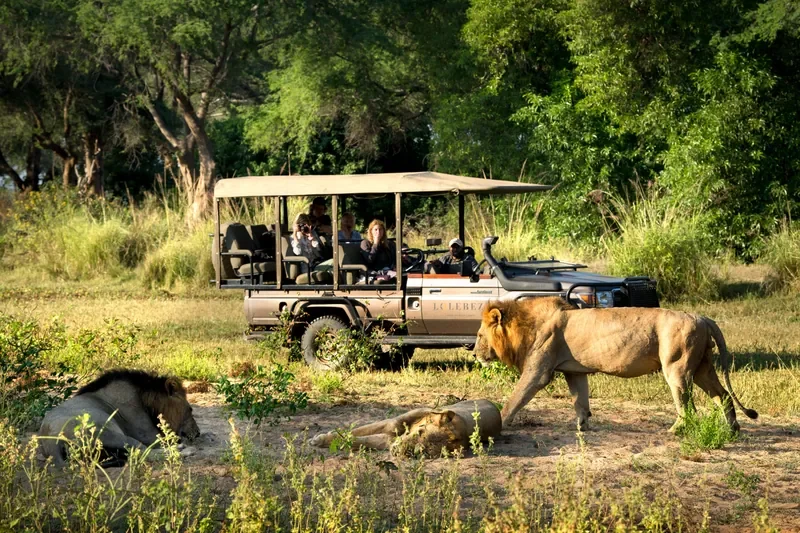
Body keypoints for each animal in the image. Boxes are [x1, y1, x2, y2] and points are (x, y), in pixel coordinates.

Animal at [39, 369, 200, 467]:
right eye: (190, 409)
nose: (198, 433)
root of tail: (51, 443)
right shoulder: (147, 434)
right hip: (110, 434)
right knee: (143, 452)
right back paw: (185, 451)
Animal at [310, 399, 502, 457]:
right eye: (420, 432)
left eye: (423, 451)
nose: (397, 451)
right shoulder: (390, 424)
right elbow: (353, 432)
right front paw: (319, 438)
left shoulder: (387, 440)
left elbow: (357, 440)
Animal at [474, 297, 758, 433]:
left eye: (478, 336)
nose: (474, 353)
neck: (524, 326)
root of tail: (702, 317)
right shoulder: (574, 371)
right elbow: (580, 400)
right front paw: (582, 426)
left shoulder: (538, 371)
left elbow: (515, 398)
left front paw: (500, 422)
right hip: (702, 367)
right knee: (723, 395)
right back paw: (733, 429)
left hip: (677, 368)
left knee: (688, 406)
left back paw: (676, 430)